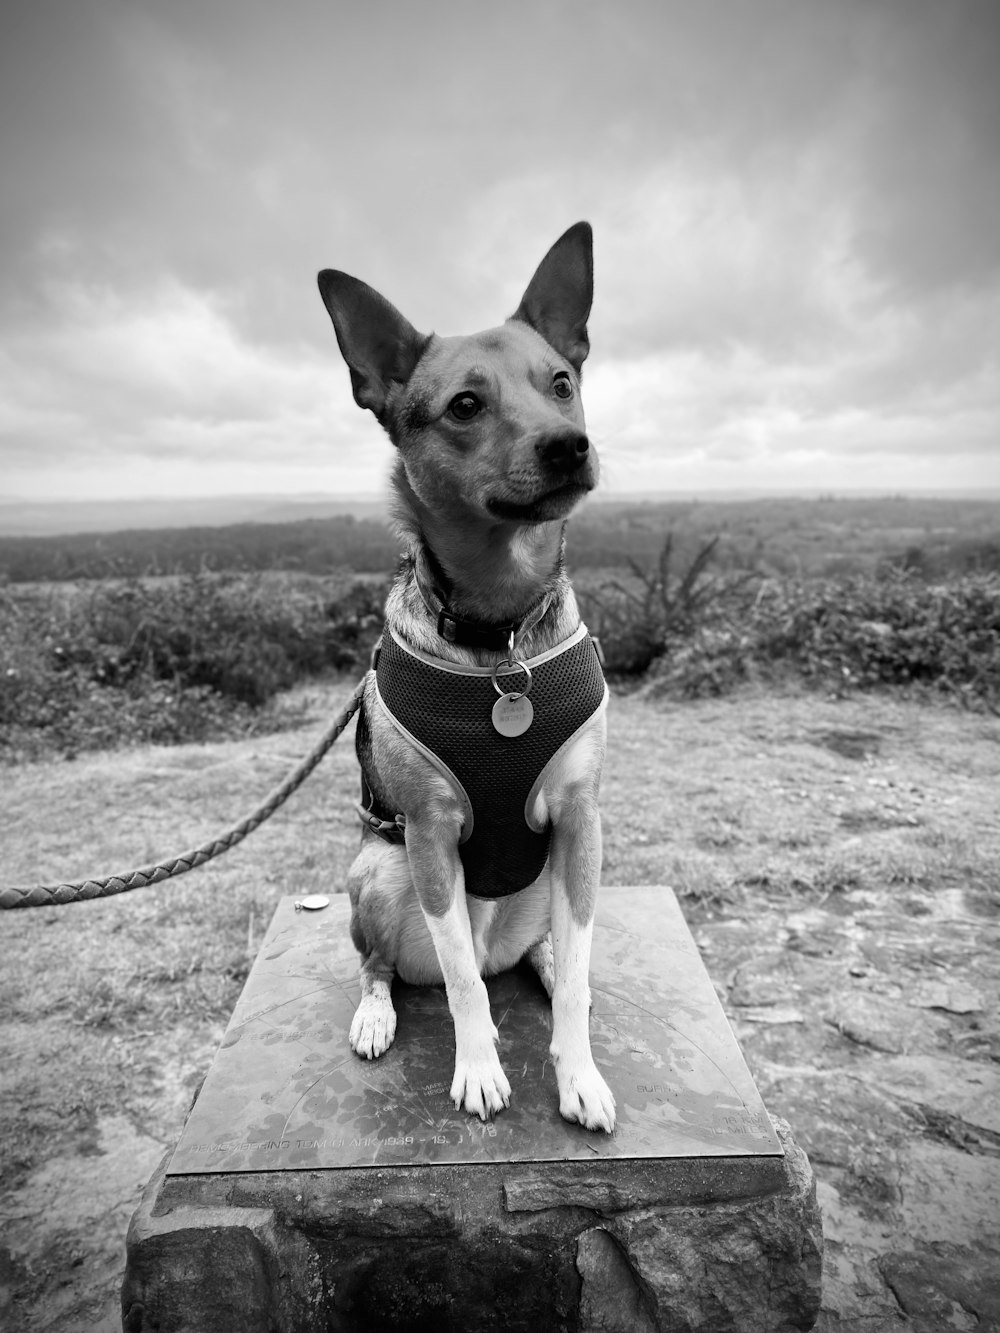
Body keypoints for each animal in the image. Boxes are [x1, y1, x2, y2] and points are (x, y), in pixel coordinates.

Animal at [321, 223, 618, 1130]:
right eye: (463, 406)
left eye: (562, 383)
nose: (569, 445)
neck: (499, 636)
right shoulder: (427, 835)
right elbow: (457, 987)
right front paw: (481, 1069)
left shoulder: (582, 820)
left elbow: (578, 981)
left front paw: (578, 1073)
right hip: (378, 873)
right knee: (396, 966)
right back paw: (377, 1013)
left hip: (553, 878)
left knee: (550, 959)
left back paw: (548, 967)